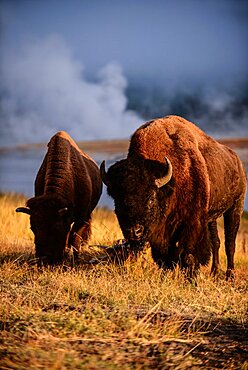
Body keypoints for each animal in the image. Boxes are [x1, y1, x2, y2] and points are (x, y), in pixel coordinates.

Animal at [15, 132, 102, 264]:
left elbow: (74, 237)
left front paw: (75, 259)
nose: (44, 258)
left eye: (56, 227)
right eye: (32, 227)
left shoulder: (81, 217)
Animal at [100, 115, 246, 278]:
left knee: (230, 242)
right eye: (117, 200)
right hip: (212, 217)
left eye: (151, 198)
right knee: (216, 241)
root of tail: (237, 161)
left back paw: (229, 275)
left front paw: (191, 277)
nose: (134, 231)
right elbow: (163, 257)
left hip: (236, 206)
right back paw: (214, 272)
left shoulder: (192, 222)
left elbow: (189, 255)